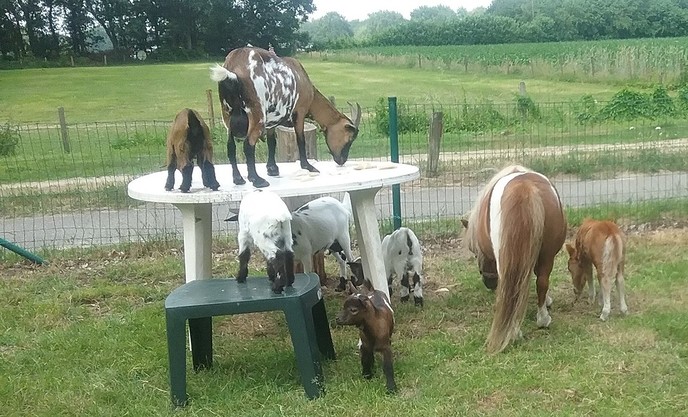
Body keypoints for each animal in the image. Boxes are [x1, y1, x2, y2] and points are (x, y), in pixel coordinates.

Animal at [462, 165, 567, 353]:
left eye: (474, 251)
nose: (489, 283)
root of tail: (523, 188)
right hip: (547, 254)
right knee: (541, 281)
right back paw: (542, 319)